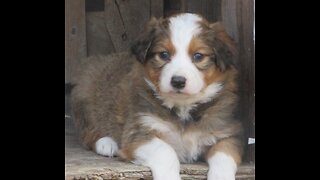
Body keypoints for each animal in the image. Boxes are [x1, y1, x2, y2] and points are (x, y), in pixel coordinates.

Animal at [71, 13, 244, 180]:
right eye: (164, 54)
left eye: (198, 56)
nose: (178, 81)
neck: (182, 107)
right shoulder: (140, 133)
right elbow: (166, 152)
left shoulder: (226, 135)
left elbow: (223, 157)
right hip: (86, 93)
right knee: (88, 131)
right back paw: (107, 143)